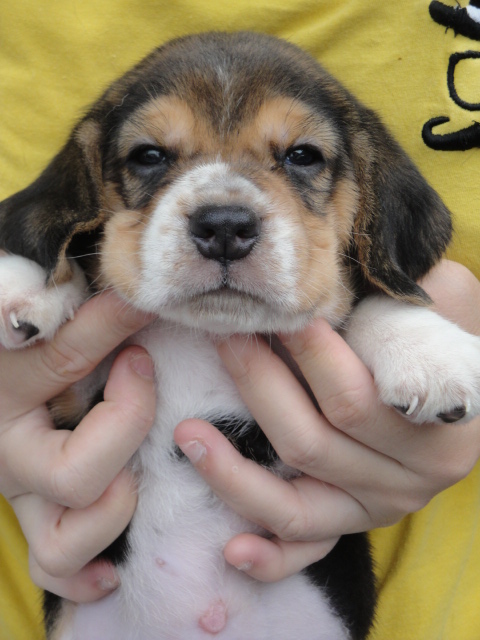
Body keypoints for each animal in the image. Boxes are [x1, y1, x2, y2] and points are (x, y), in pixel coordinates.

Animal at [1, 31, 480, 640]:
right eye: (149, 155)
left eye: (302, 155)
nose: (225, 225)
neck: (205, 334)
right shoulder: (76, 401)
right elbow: (81, 266)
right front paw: (27, 281)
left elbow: (365, 303)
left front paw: (427, 352)